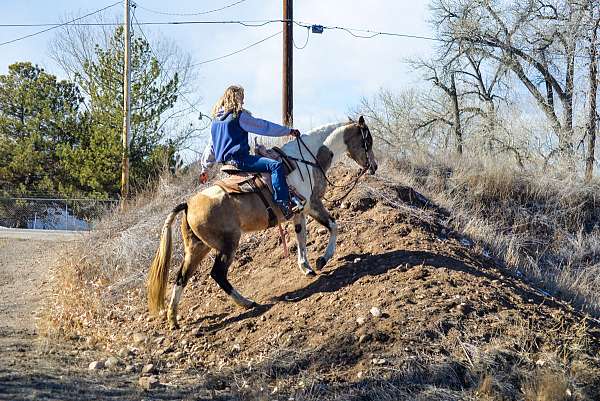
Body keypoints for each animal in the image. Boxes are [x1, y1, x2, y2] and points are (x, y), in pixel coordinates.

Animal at [147, 115, 378, 328]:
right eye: (368, 140)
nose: (374, 166)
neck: (306, 159)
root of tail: (188, 204)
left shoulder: (299, 212)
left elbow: (301, 237)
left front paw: (306, 267)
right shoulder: (313, 204)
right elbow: (333, 225)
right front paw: (323, 259)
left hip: (197, 247)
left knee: (181, 277)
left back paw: (173, 319)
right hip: (227, 244)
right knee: (218, 274)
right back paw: (246, 302)